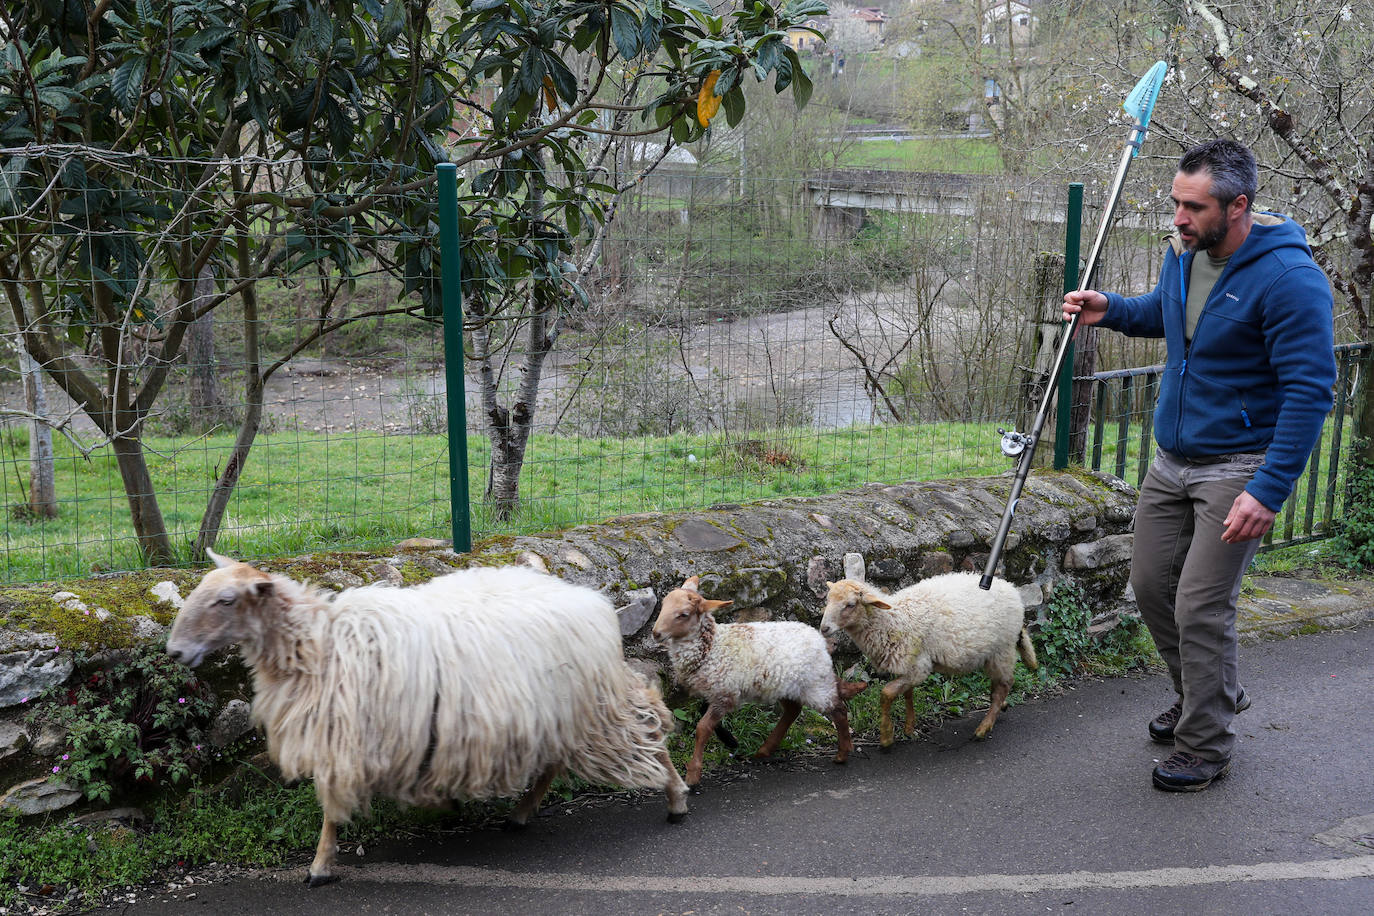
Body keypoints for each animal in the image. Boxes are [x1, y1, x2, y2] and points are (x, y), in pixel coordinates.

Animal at [167, 552, 692, 889]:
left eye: (227, 599)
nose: (173, 651)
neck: (318, 645)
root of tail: (590, 600)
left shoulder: (346, 739)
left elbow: (330, 810)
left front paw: (319, 866)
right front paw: (445, 805)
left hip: (596, 703)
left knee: (647, 720)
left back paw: (676, 797)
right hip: (556, 708)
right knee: (553, 762)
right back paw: (521, 814)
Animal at [648, 576, 862, 785]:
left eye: (683, 614)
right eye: (664, 605)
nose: (656, 633)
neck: (711, 648)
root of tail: (820, 640)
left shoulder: (724, 694)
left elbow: (702, 728)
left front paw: (693, 774)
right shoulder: (714, 692)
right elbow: (705, 719)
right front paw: (730, 741)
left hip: (815, 684)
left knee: (838, 709)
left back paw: (842, 753)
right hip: (784, 685)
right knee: (793, 710)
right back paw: (765, 750)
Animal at [818, 576, 1033, 747]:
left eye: (850, 604)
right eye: (827, 600)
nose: (824, 628)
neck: (894, 620)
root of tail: (1011, 588)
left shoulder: (919, 668)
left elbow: (887, 693)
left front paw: (886, 736)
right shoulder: (909, 665)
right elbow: (908, 694)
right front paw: (909, 727)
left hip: (1002, 650)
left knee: (1005, 685)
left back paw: (984, 727)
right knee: (998, 686)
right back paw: (1001, 707)